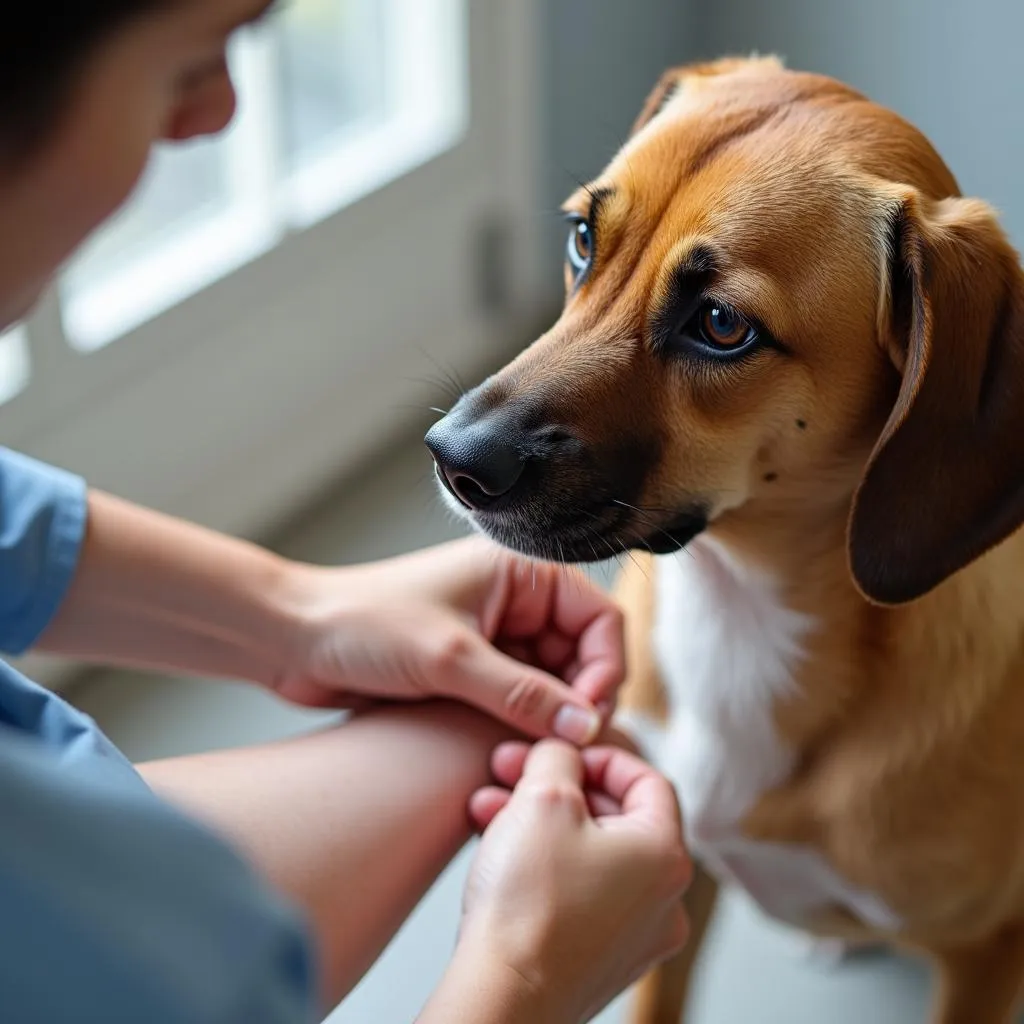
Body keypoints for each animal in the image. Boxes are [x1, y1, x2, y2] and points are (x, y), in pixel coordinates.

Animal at [425, 58, 1024, 1024]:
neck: (739, 606)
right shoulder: (681, 867)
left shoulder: (984, 956)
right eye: (584, 239)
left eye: (721, 325)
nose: (452, 458)